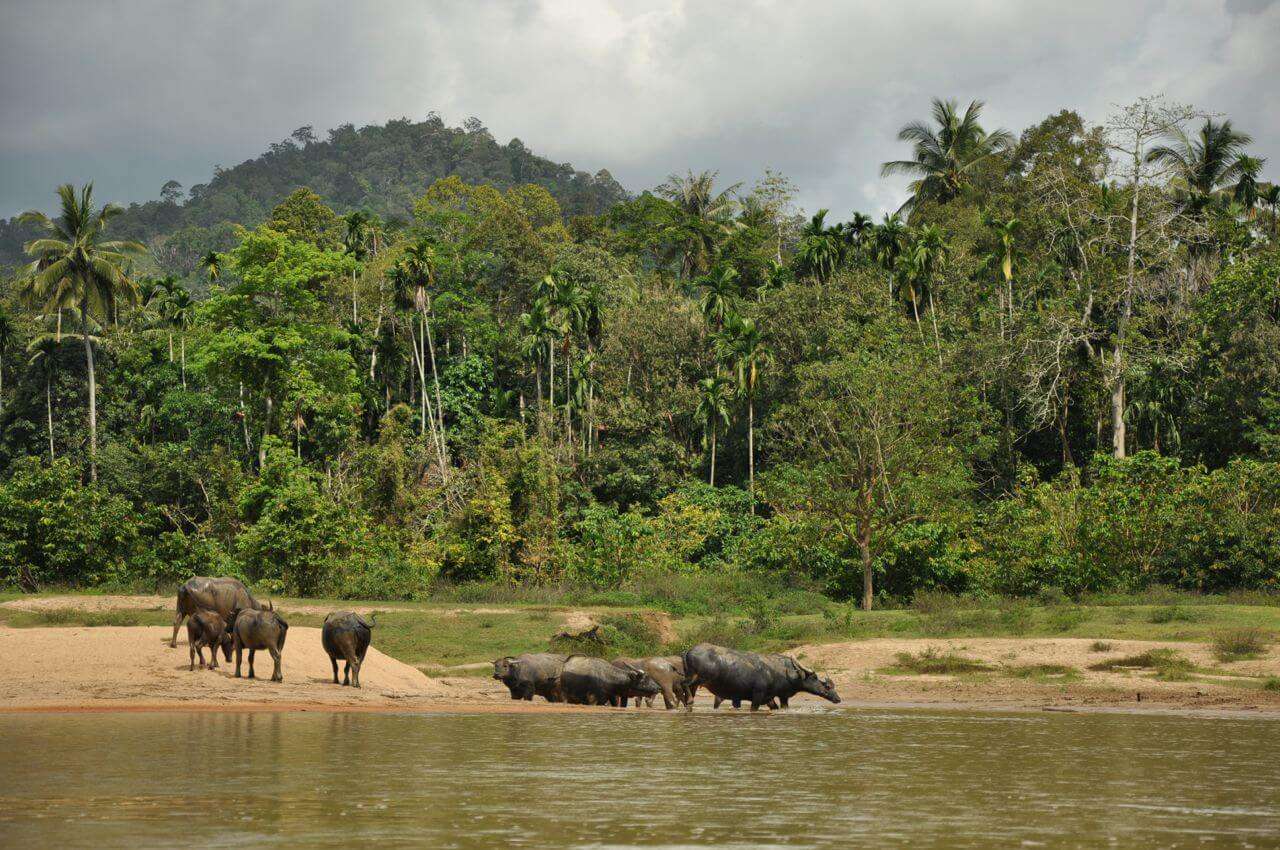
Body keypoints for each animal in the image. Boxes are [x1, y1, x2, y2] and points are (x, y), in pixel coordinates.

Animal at [680, 645, 839, 711]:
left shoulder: (771, 698)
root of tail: (689, 651)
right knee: (684, 684)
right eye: (815, 677)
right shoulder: (758, 696)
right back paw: (689, 700)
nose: (838, 699)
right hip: (698, 678)